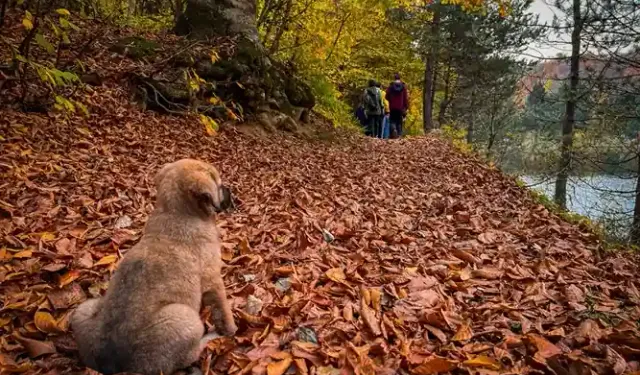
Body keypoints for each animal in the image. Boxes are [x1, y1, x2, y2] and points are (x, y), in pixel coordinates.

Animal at [70, 160, 239, 375]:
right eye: (218, 184)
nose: (229, 189)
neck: (175, 214)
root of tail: (115, 364)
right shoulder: (213, 280)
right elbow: (223, 310)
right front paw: (231, 330)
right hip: (185, 319)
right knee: (189, 355)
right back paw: (210, 338)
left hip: (83, 310)